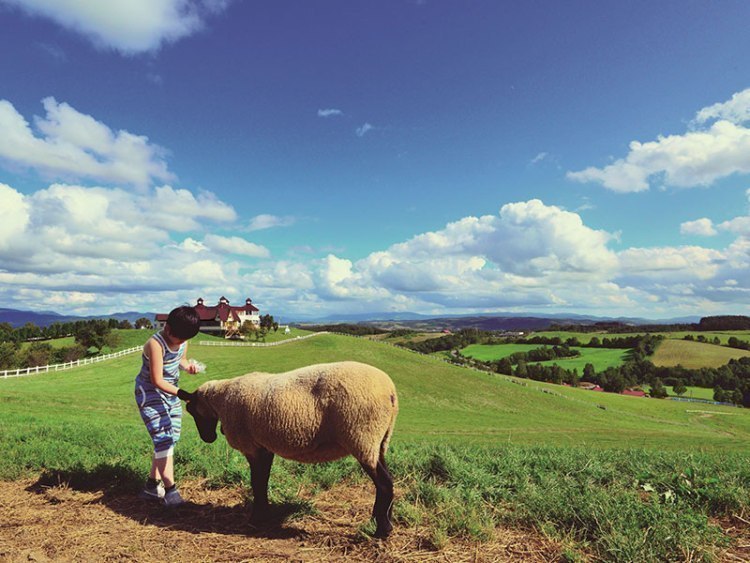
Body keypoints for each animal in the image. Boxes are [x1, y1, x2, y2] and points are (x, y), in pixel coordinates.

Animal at [182, 362, 400, 536]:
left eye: (191, 410)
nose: (208, 438)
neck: (222, 398)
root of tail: (391, 392)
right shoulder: (263, 447)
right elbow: (262, 481)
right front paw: (264, 513)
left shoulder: (251, 446)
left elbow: (256, 482)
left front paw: (256, 517)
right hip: (380, 440)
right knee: (387, 480)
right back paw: (382, 519)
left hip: (362, 435)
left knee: (385, 484)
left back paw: (382, 530)